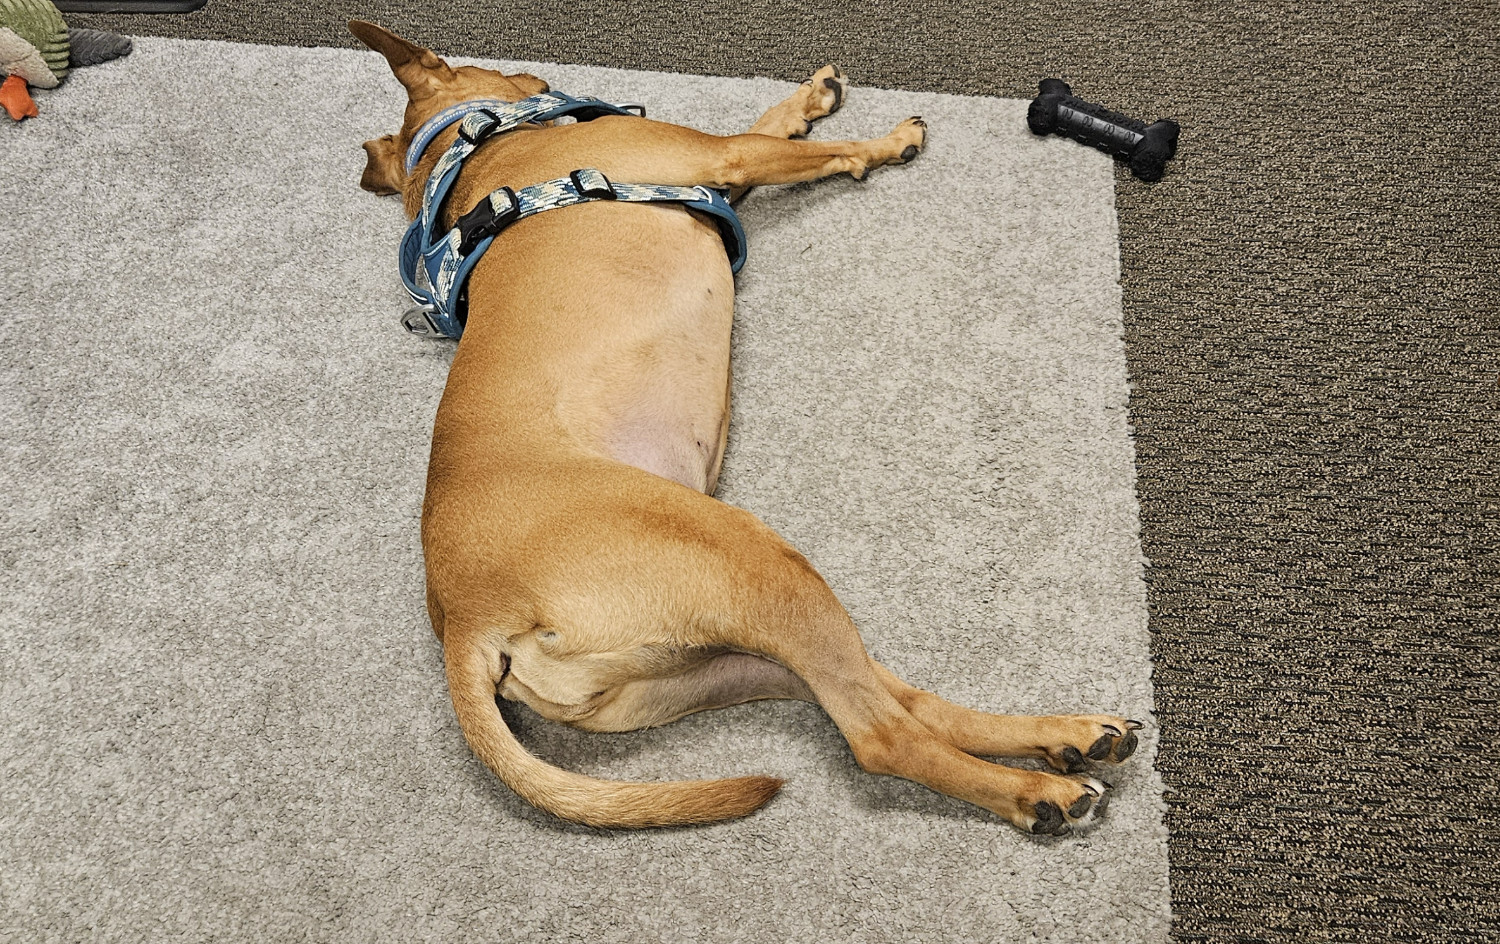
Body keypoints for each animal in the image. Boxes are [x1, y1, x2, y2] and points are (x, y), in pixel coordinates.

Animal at [351, 20, 1140, 834]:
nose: (537, 80)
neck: (472, 151)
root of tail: (467, 615)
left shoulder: (724, 173)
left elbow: (772, 120)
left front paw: (810, 96)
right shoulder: (723, 156)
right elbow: (808, 148)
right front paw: (885, 141)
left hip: (722, 657)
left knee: (897, 699)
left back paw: (1067, 737)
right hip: (753, 564)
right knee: (881, 735)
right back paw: (1039, 791)